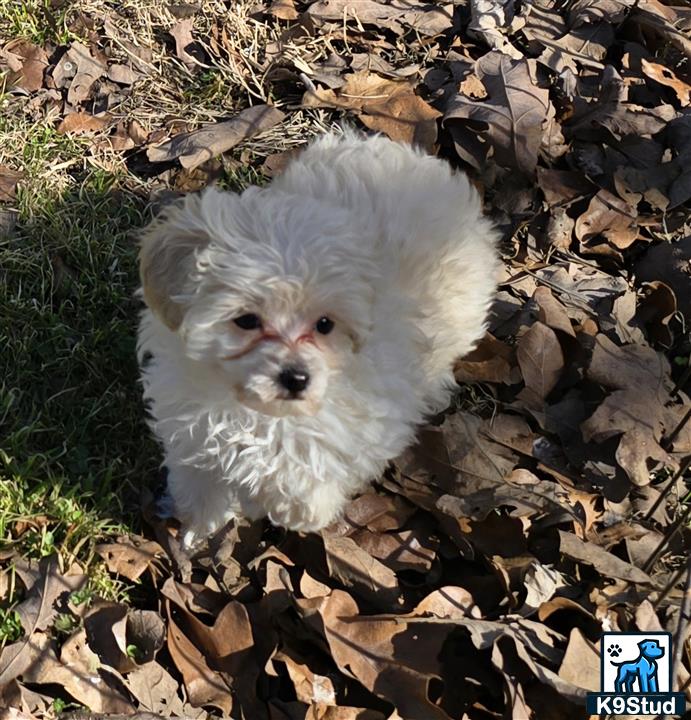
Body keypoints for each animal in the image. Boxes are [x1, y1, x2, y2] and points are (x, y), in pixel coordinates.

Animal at [139, 131, 498, 544]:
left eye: (325, 324)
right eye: (246, 320)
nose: (297, 378)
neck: (251, 411)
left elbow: (307, 481)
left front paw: (289, 507)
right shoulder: (191, 430)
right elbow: (200, 478)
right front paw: (201, 524)